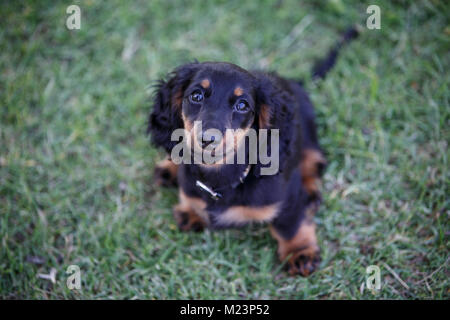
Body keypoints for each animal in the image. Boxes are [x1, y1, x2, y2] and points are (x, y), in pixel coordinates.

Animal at [149, 26, 358, 276]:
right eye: (196, 95)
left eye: (243, 105)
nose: (207, 140)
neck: (221, 179)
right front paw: (191, 210)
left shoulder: (286, 199)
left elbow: (291, 224)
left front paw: (300, 251)